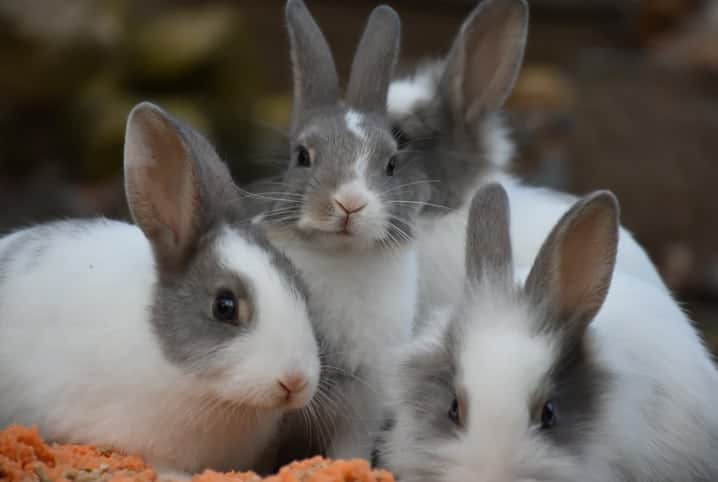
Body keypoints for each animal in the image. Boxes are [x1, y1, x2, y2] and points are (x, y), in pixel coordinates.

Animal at [242, 0, 434, 464]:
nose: (350, 202)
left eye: (391, 164)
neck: (341, 256)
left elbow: (351, 449)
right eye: (302, 156)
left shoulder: (363, 405)